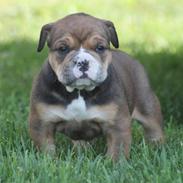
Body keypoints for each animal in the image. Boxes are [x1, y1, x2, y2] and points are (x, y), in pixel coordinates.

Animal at [29, 12, 164, 160]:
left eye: (100, 47)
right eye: (63, 49)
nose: (83, 62)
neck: (79, 92)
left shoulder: (117, 125)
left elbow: (117, 151)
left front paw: (115, 164)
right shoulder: (42, 124)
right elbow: (46, 150)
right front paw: (49, 161)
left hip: (147, 104)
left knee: (153, 128)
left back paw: (157, 148)